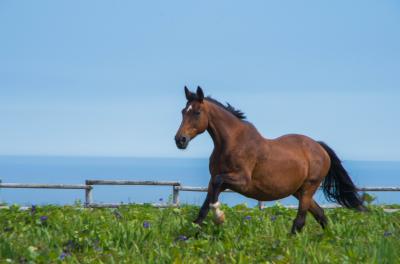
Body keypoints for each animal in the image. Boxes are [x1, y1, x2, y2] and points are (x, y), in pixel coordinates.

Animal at [175, 86, 366, 233]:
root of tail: (320, 147)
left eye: (197, 112)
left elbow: (216, 185)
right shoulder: (214, 181)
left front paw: (219, 216)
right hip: (298, 190)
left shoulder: (241, 181)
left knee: (300, 221)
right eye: (183, 112)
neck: (232, 142)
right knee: (321, 215)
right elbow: (202, 212)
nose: (180, 140)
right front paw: (185, 238)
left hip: (308, 188)